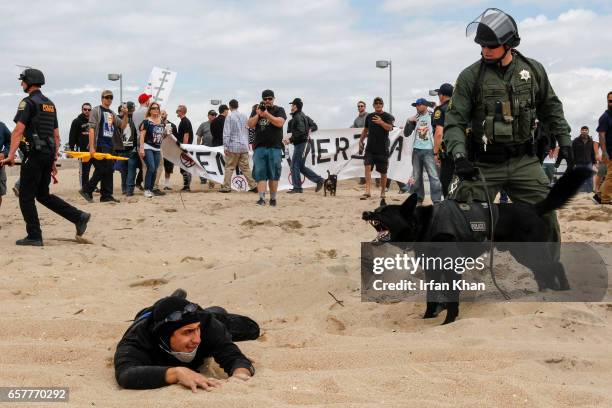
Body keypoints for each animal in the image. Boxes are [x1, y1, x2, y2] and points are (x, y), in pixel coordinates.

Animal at [364, 167, 592, 326]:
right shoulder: (432, 270)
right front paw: (427, 319)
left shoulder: (451, 268)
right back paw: (546, 294)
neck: (425, 223)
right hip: (524, 254)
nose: (365, 213)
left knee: (555, 265)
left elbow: (451, 299)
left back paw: (563, 292)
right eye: (377, 209)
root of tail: (534, 208)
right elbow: (432, 298)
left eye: (384, 213)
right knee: (545, 270)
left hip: (529, 253)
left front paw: (448, 323)